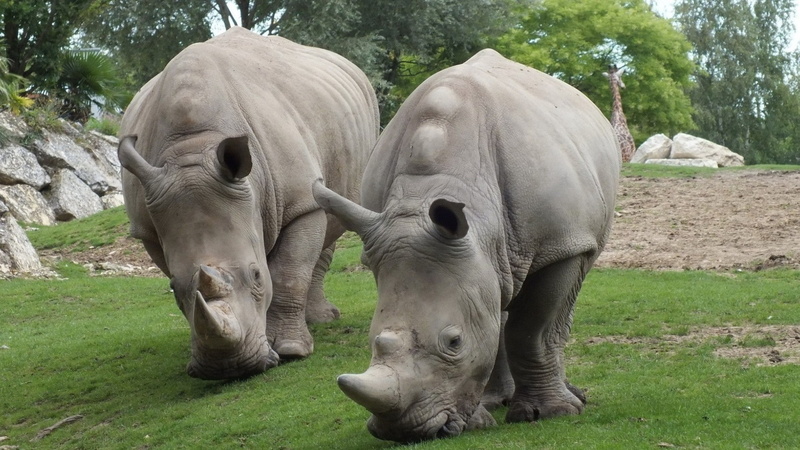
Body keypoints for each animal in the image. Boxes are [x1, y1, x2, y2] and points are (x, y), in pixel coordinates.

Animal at [118, 27, 379, 380]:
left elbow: (290, 271)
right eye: (172, 288)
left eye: (256, 275)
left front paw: (290, 351)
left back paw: (322, 320)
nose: (229, 369)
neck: (192, 147)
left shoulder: (301, 200)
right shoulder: (147, 225)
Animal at [313, 49, 619, 442]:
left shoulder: (561, 243)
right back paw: (496, 401)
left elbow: (533, 330)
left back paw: (571, 398)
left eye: (454, 342)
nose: (405, 432)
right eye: (372, 341)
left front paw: (550, 414)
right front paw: (480, 418)